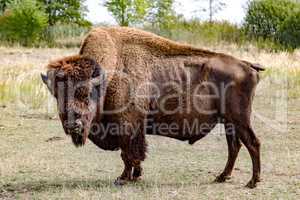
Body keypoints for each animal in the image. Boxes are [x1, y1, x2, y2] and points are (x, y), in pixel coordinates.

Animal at [41, 27, 264, 188]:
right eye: (57, 94)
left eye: (87, 93)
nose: (73, 124)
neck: (107, 77)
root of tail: (246, 65)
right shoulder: (133, 129)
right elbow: (132, 155)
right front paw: (135, 176)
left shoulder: (127, 127)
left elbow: (128, 154)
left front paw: (123, 178)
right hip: (229, 122)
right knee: (234, 146)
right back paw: (222, 177)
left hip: (240, 120)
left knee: (252, 143)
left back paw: (252, 182)